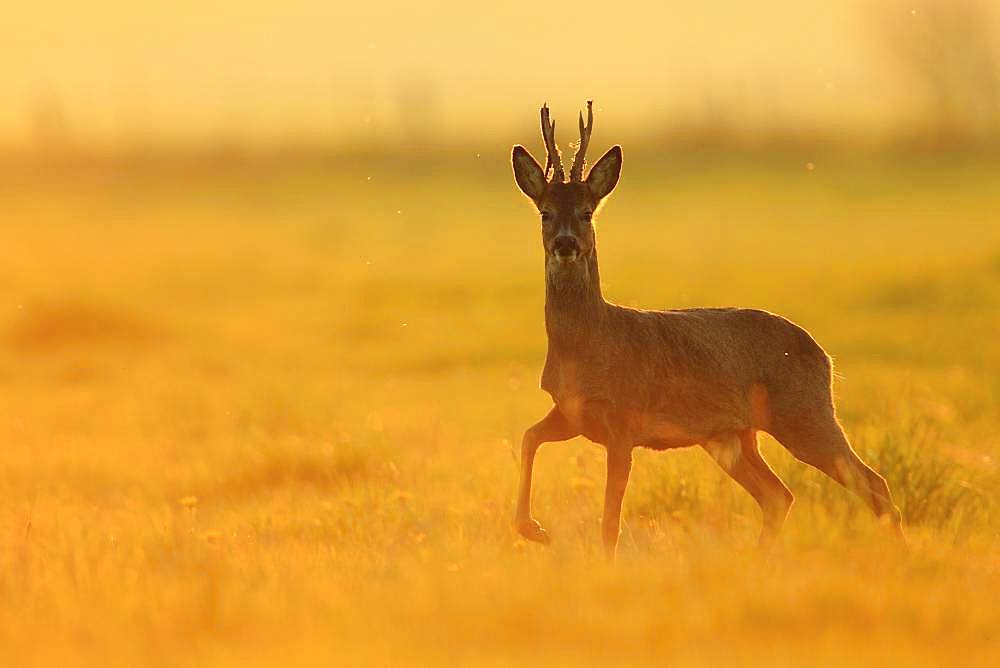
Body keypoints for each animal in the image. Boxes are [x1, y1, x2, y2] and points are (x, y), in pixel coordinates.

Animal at [512, 100, 904, 560]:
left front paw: (594, 556)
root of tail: (824, 355)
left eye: (587, 212)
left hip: (804, 413)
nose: (566, 243)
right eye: (545, 212)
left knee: (872, 483)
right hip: (731, 436)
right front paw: (533, 529)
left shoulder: (625, 421)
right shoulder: (570, 412)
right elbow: (528, 438)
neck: (588, 345)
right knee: (779, 495)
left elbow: (610, 520)